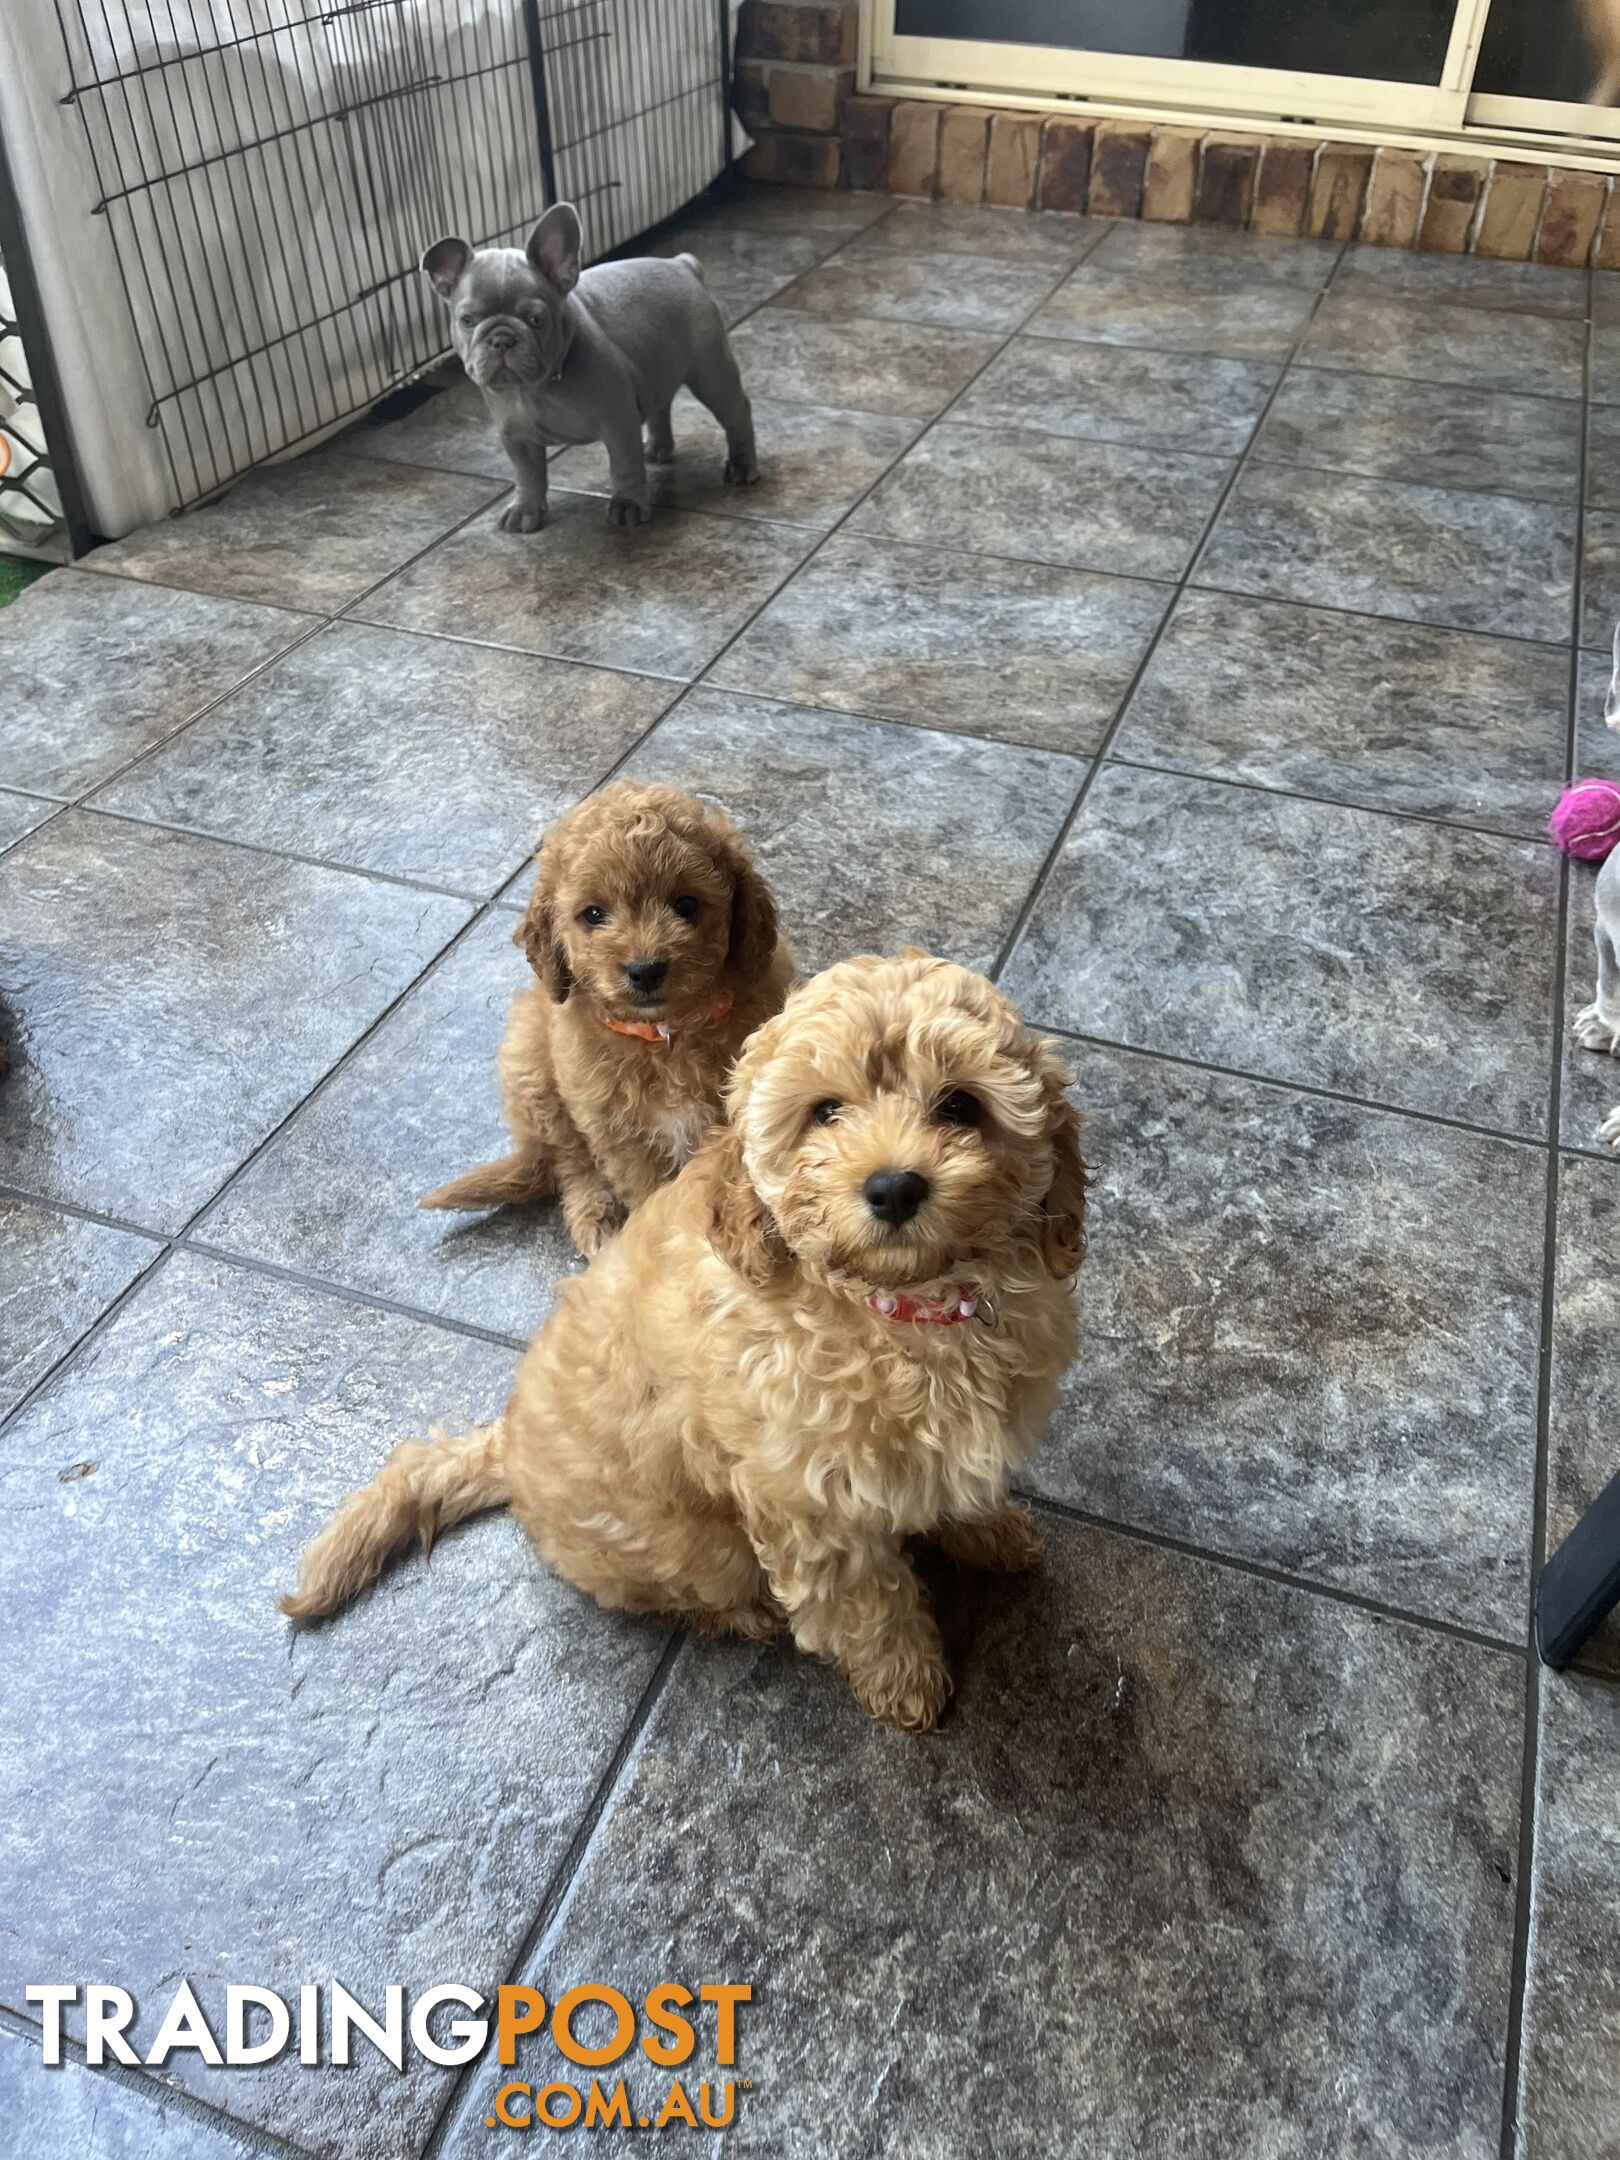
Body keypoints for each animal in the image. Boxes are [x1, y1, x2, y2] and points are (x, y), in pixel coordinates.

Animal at [282, 954, 1092, 1728]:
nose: (893, 1188)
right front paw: (906, 1683)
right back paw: (749, 1613)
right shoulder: (813, 1509)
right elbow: (869, 1606)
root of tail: (506, 1445)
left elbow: (957, 1492)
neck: (898, 1308)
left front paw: (992, 1534)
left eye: (960, 1105)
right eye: (825, 1111)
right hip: (691, 1549)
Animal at [421, 777, 794, 1252]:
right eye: (594, 914)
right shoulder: (617, 1132)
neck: (666, 1037)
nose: (645, 969)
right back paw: (596, 1218)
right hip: (532, 1070)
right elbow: (648, 1192)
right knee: (571, 1161)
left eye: (687, 905)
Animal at [425, 201, 768, 531]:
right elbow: (527, 475)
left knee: (737, 412)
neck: (535, 388)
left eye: (536, 320)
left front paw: (628, 505)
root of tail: (681, 265)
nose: (501, 340)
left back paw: (741, 466)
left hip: (710, 372)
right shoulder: (516, 438)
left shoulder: (618, 424)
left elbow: (625, 467)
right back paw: (658, 448)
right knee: (660, 405)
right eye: (467, 321)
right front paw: (525, 510)